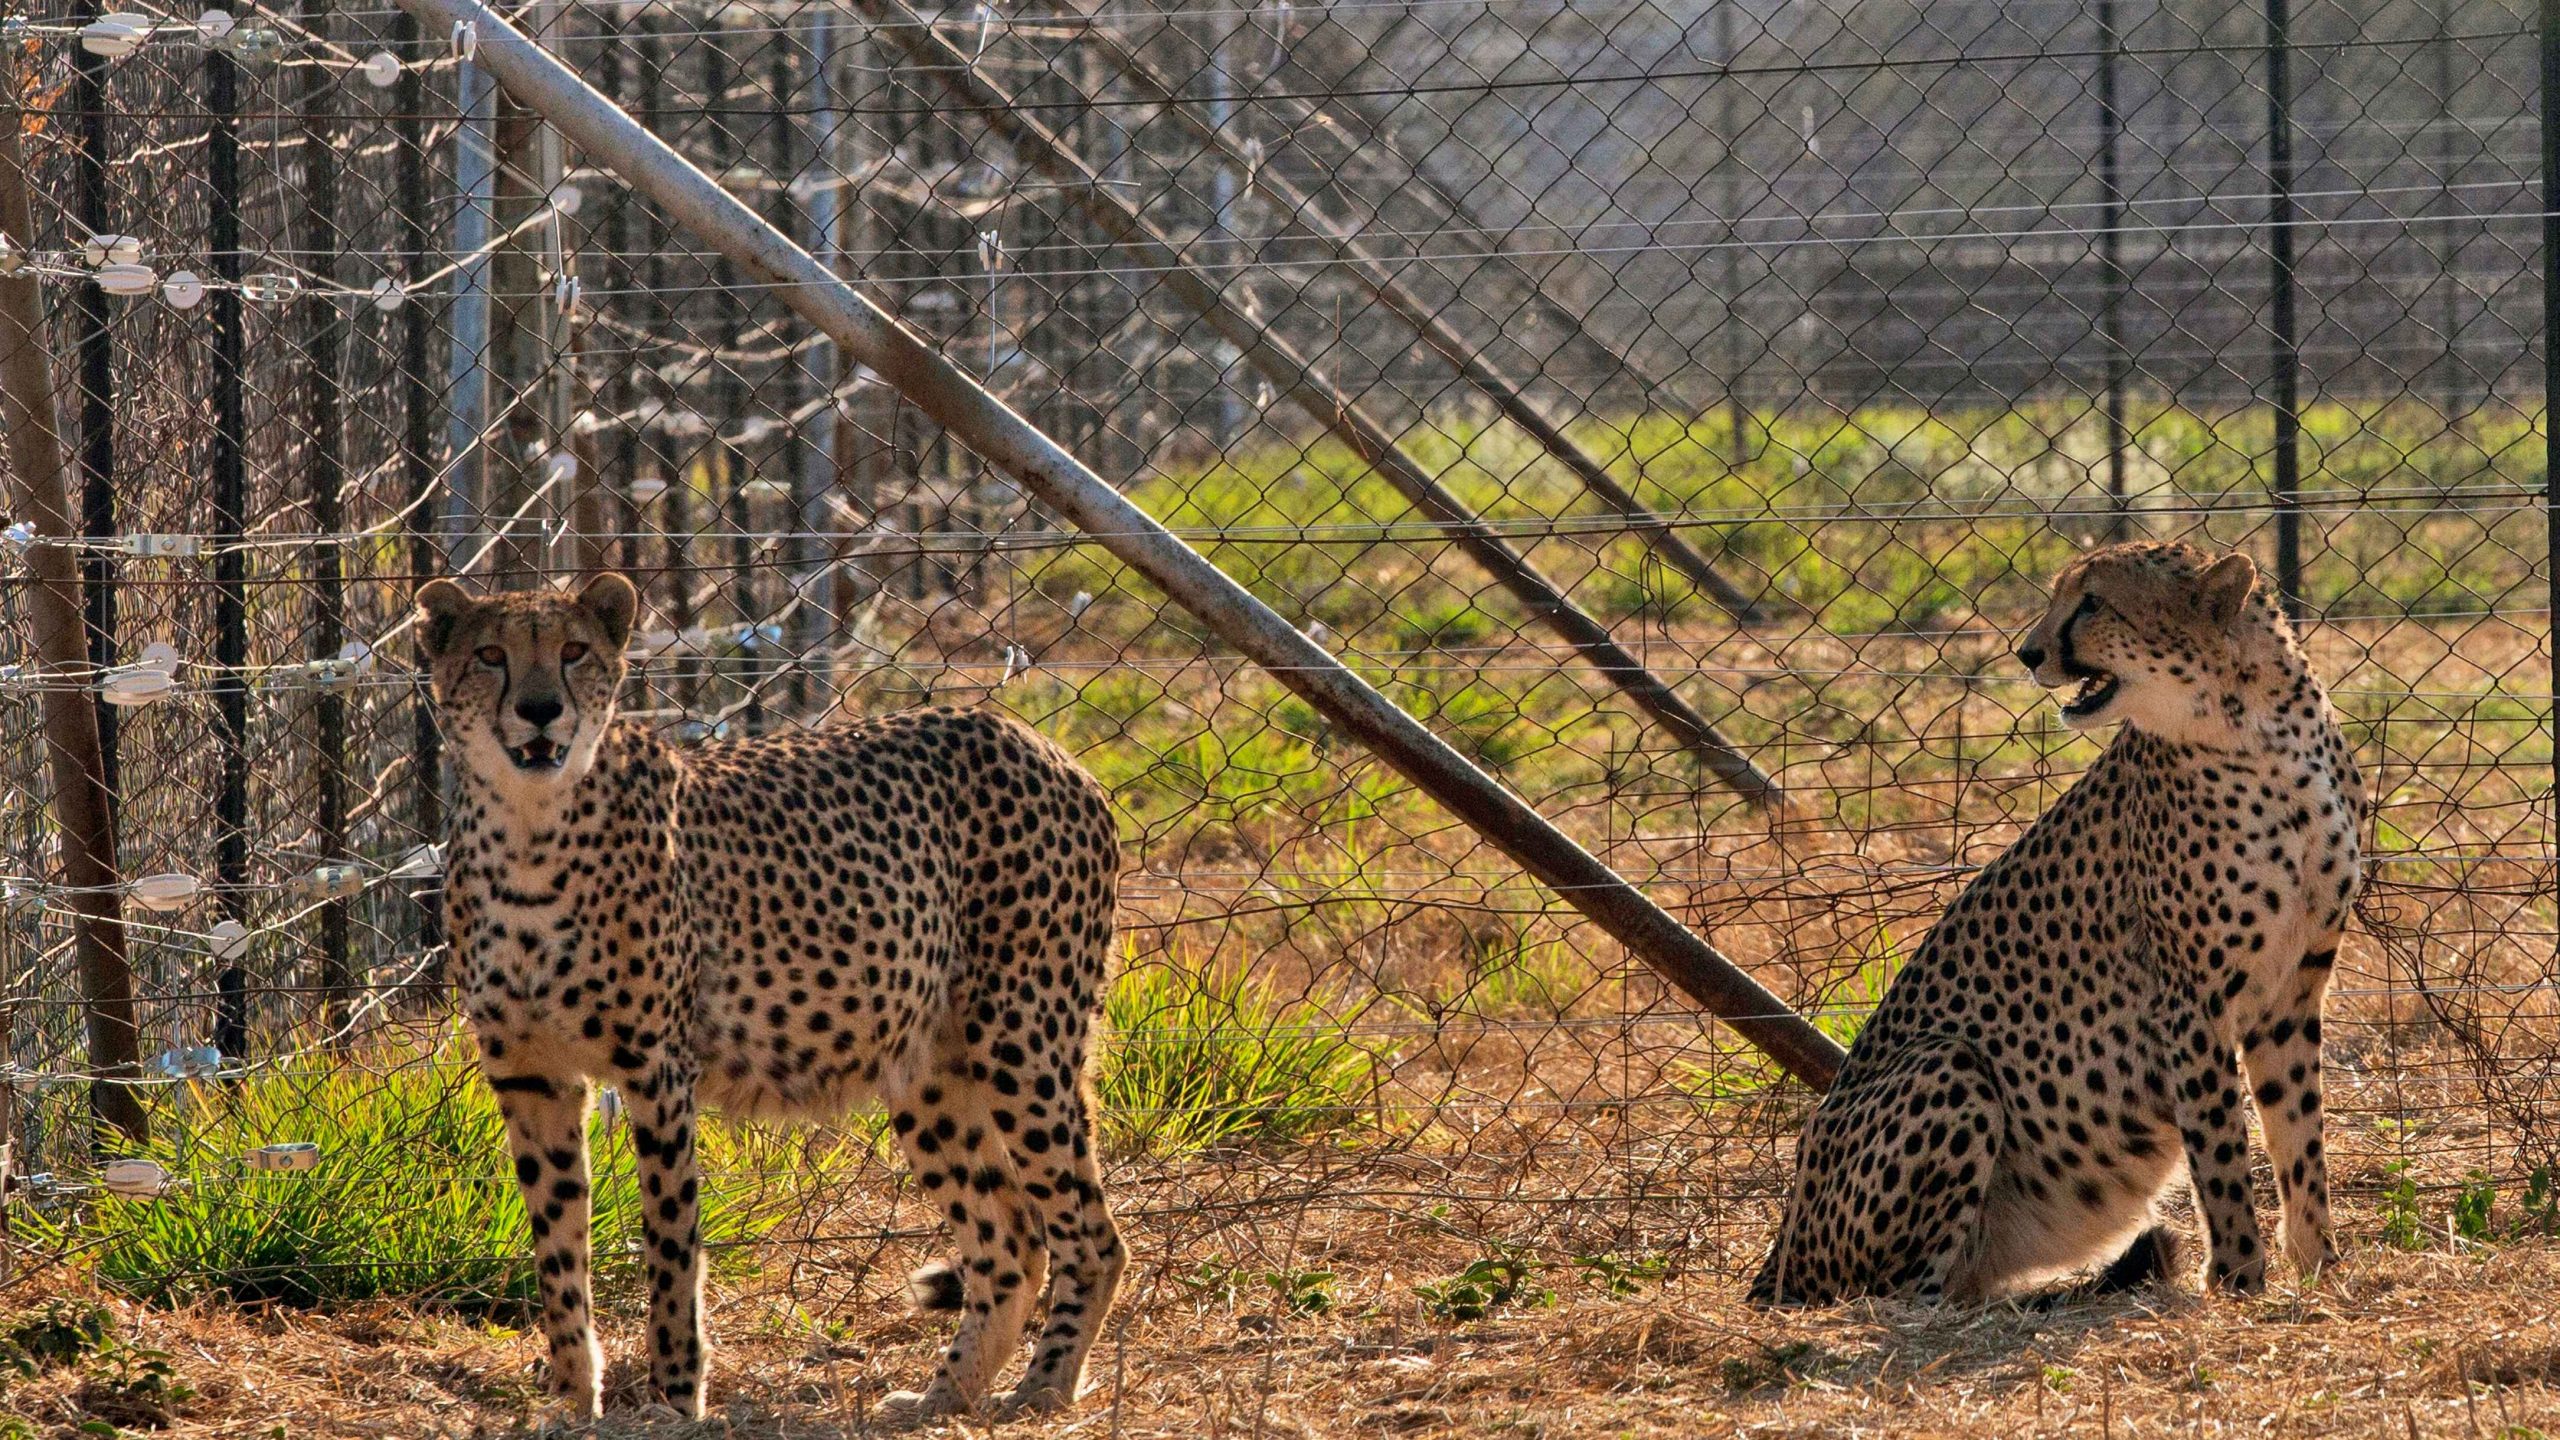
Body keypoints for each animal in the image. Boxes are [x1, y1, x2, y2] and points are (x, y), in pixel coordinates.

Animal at [417, 568, 1121, 1414]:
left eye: (574, 650)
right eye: (490, 654)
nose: (540, 708)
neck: (530, 829)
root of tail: (1037, 742)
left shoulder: (657, 1069)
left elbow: (670, 1242)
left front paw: (675, 1397)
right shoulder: (530, 1075)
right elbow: (556, 1246)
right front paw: (572, 1399)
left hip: (1022, 1040)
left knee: (1091, 1234)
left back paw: (1044, 1387)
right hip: (928, 1070)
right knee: (1011, 1236)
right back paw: (944, 1397)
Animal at [1751, 538, 2365, 1301]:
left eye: (2093, 601)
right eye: (2060, 595)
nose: (2028, 652)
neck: (2260, 729)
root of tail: (1777, 1251)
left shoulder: (2292, 989)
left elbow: (2298, 1133)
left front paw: (2319, 1268)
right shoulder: (2189, 1000)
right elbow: (2220, 1149)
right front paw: (2238, 1278)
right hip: (1948, 1064)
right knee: (1902, 1290)